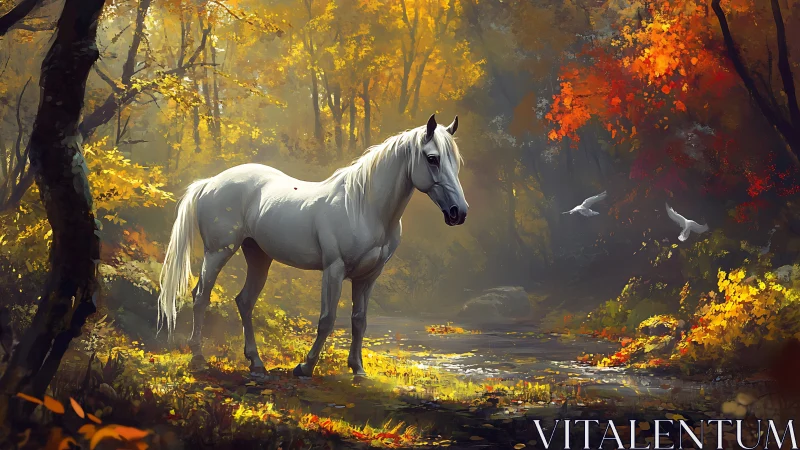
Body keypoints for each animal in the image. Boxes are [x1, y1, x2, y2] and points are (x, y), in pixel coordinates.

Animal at [157, 114, 468, 378]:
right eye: (432, 159)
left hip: (258, 256)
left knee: (244, 301)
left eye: (456, 162)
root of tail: (210, 182)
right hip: (218, 252)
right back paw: (198, 358)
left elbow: (359, 320)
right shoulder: (334, 270)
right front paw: (305, 367)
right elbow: (327, 320)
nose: (459, 212)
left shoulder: (369, 276)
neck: (363, 206)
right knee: (201, 297)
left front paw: (358, 369)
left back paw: (256, 363)